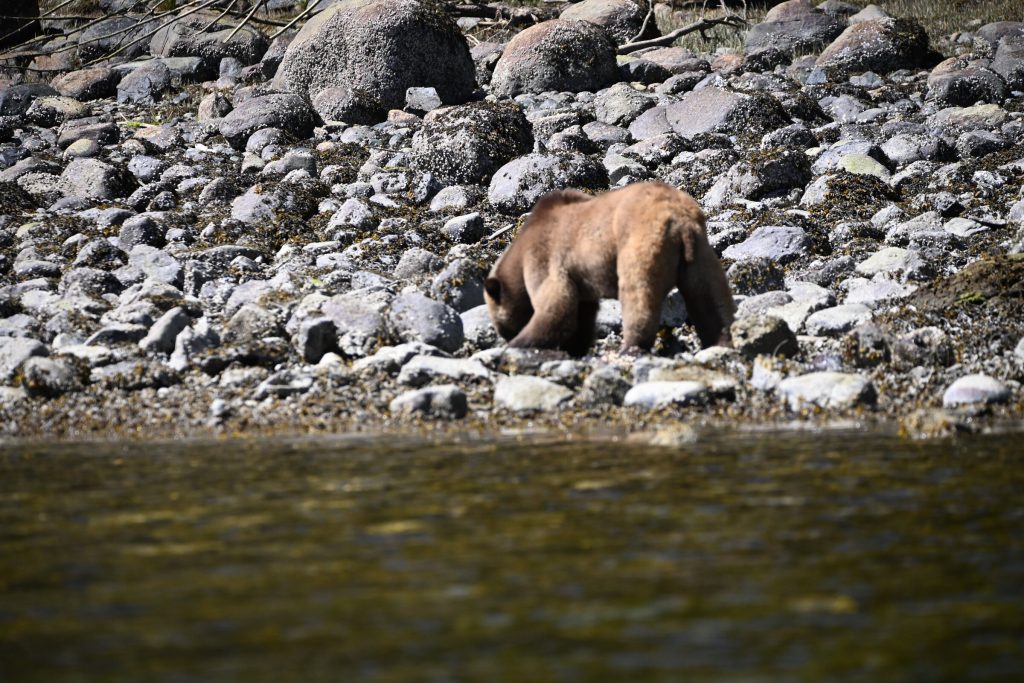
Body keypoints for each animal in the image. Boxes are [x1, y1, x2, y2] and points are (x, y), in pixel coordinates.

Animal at [484, 182, 735, 355]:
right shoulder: (580, 282)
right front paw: (576, 346)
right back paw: (721, 340)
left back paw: (630, 346)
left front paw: (518, 344)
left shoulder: (544, 258)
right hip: (700, 254)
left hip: (639, 242)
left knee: (638, 293)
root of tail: (681, 222)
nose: (506, 336)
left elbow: (557, 307)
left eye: (501, 327)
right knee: (709, 297)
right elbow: (581, 314)